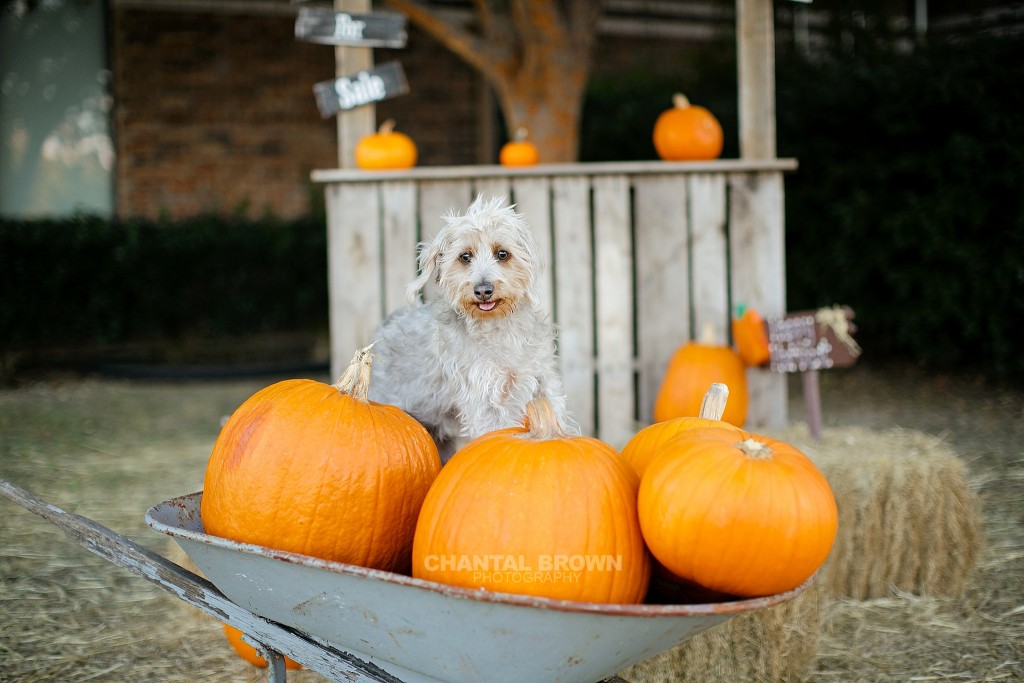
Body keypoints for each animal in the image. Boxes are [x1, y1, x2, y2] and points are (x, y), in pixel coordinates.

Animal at [368, 194, 577, 462]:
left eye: (502, 254)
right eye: (465, 257)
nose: (483, 290)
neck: (500, 330)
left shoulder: (543, 379)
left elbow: (555, 409)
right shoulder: (485, 399)